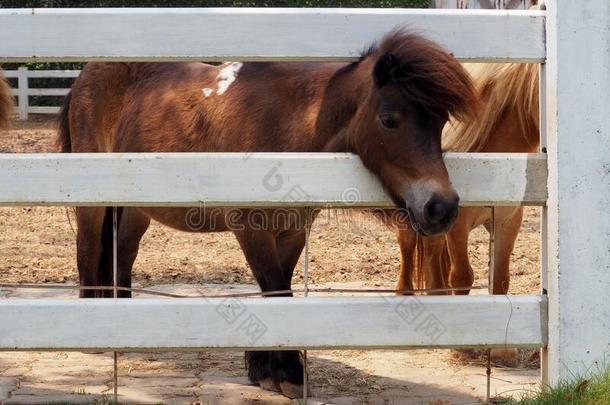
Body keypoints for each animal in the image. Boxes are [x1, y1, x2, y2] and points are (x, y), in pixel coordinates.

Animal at [55, 31, 476, 398]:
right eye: (389, 119)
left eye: (440, 123)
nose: (441, 207)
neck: (286, 128)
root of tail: (86, 77)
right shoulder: (252, 230)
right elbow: (276, 290)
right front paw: (287, 373)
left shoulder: (291, 232)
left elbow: (277, 288)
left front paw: (263, 369)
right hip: (93, 203)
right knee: (89, 251)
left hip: (136, 209)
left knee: (122, 254)